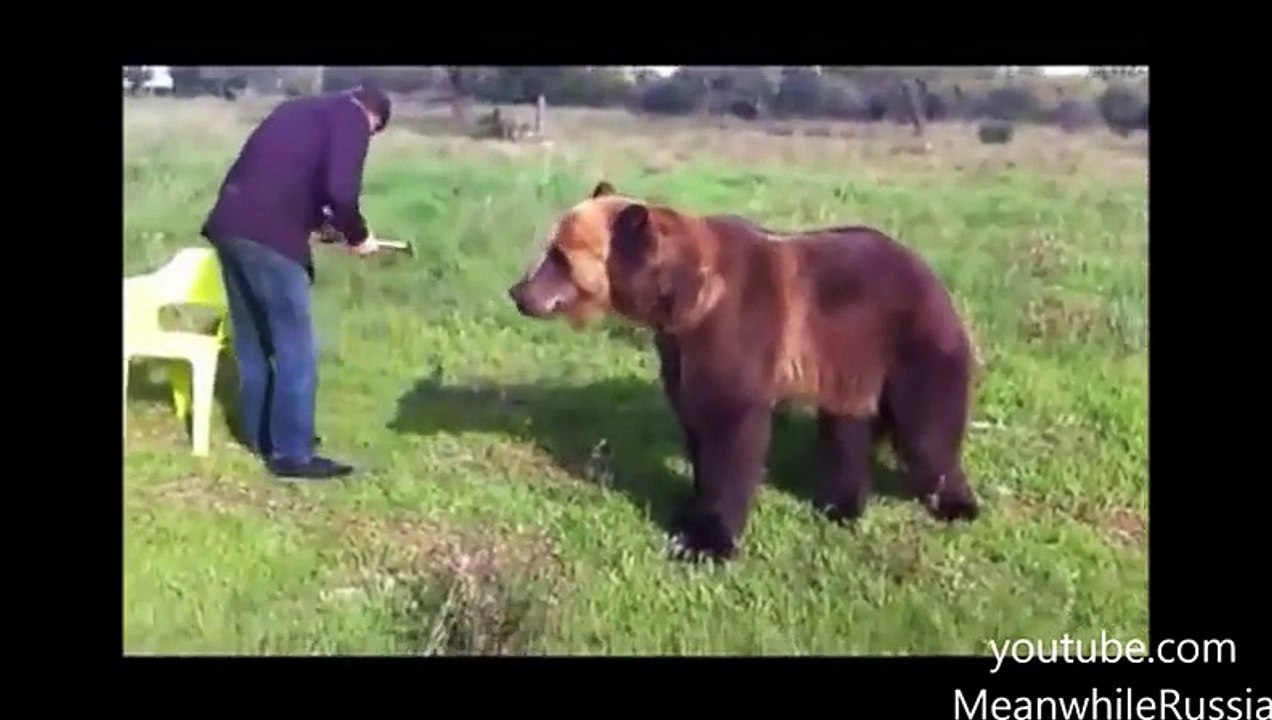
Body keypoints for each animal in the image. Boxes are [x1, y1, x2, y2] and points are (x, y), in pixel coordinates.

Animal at [507, 181, 981, 562]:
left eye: (559, 256)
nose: (519, 292)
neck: (682, 301)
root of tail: (927, 271)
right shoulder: (681, 351)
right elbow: (695, 423)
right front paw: (690, 512)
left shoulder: (736, 329)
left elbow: (731, 432)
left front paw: (707, 541)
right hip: (849, 359)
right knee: (847, 426)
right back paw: (839, 505)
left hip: (910, 342)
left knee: (928, 427)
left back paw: (955, 503)